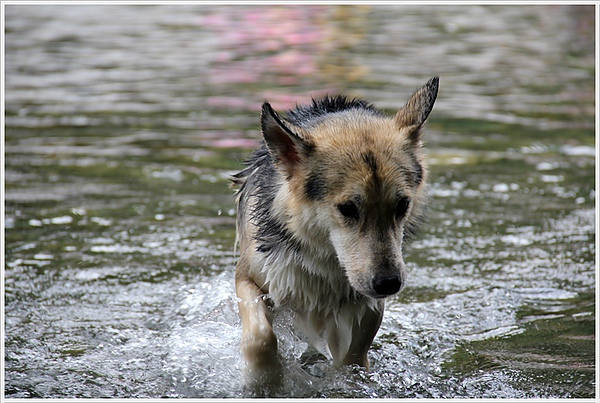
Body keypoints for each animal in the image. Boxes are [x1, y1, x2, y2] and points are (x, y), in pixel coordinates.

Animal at [232, 76, 438, 388]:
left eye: (402, 204)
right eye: (348, 208)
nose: (388, 284)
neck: (323, 268)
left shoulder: (367, 308)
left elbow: (352, 360)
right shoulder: (248, 278)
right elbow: (261, 338)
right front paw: (265, 380)